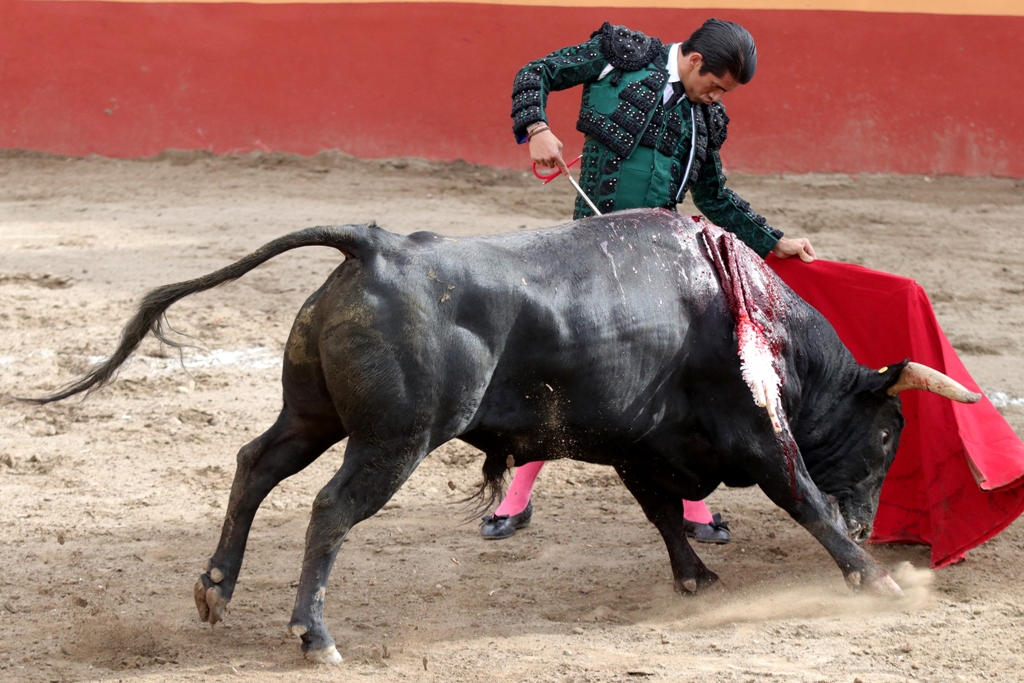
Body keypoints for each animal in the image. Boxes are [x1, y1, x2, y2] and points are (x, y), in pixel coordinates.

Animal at [28, 209, 978, 663]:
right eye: (889, 435)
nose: (870, 523)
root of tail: (375, 249)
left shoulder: (638, 440)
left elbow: (661, 509)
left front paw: (695, 577)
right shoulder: (757, 430)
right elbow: (801, 496)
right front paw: (873, 579)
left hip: (313, 414)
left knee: (255, 465)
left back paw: (216, 589)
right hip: (394, 439)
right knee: (329, 510)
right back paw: (314, 635)